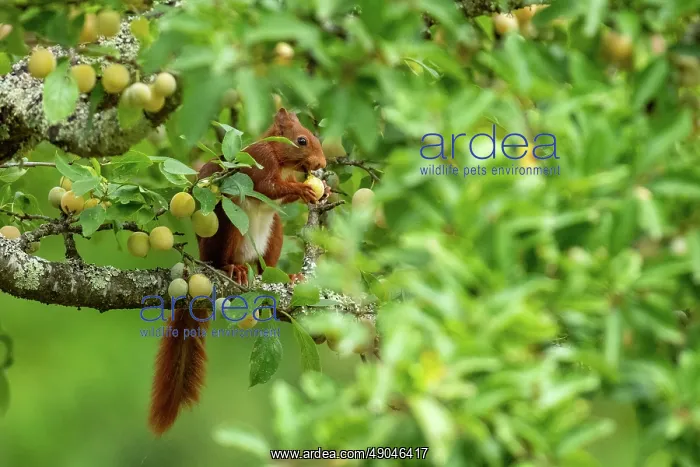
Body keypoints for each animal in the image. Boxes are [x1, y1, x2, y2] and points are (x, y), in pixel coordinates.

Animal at [148, 108, 327, 435]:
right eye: (302, 140)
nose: (322, 164)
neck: (280, 157)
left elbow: (279, 196)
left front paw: (324, 189)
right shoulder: (258, 163)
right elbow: (268, 188)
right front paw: (304, 188)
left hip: (273, 234)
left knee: (267, 264)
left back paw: (286, 276)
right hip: (226, 227)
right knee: (224, 258)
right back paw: (234, 269)